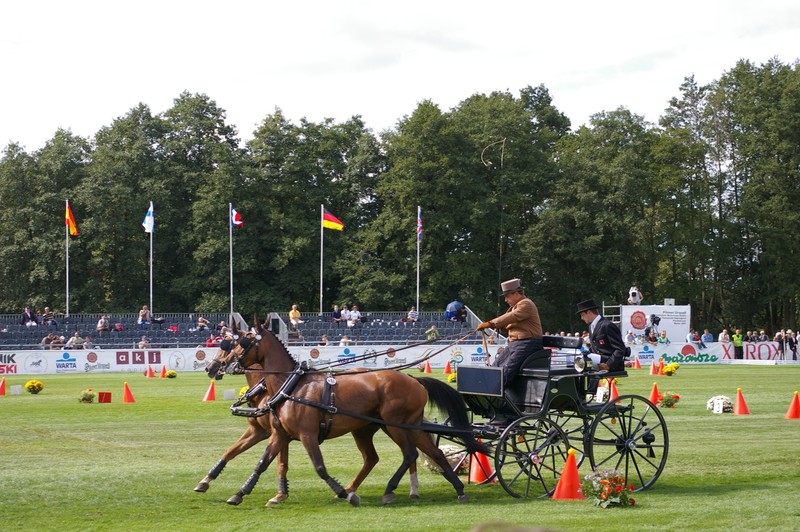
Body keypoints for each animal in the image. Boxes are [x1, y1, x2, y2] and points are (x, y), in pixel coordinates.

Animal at [205, 320, 482, 508]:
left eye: (239, 343)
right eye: (226, 343)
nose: (214, 366)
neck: (289, 386)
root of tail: (413, 379)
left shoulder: (304, 434)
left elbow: (318, 467)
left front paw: (342, 493)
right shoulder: (278, 433)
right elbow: (262, 462)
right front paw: (240, 492)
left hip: (394, 424)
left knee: (410, 454)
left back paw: (388, 489)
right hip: (392, 426)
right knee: (425, 453)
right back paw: (457, 489)